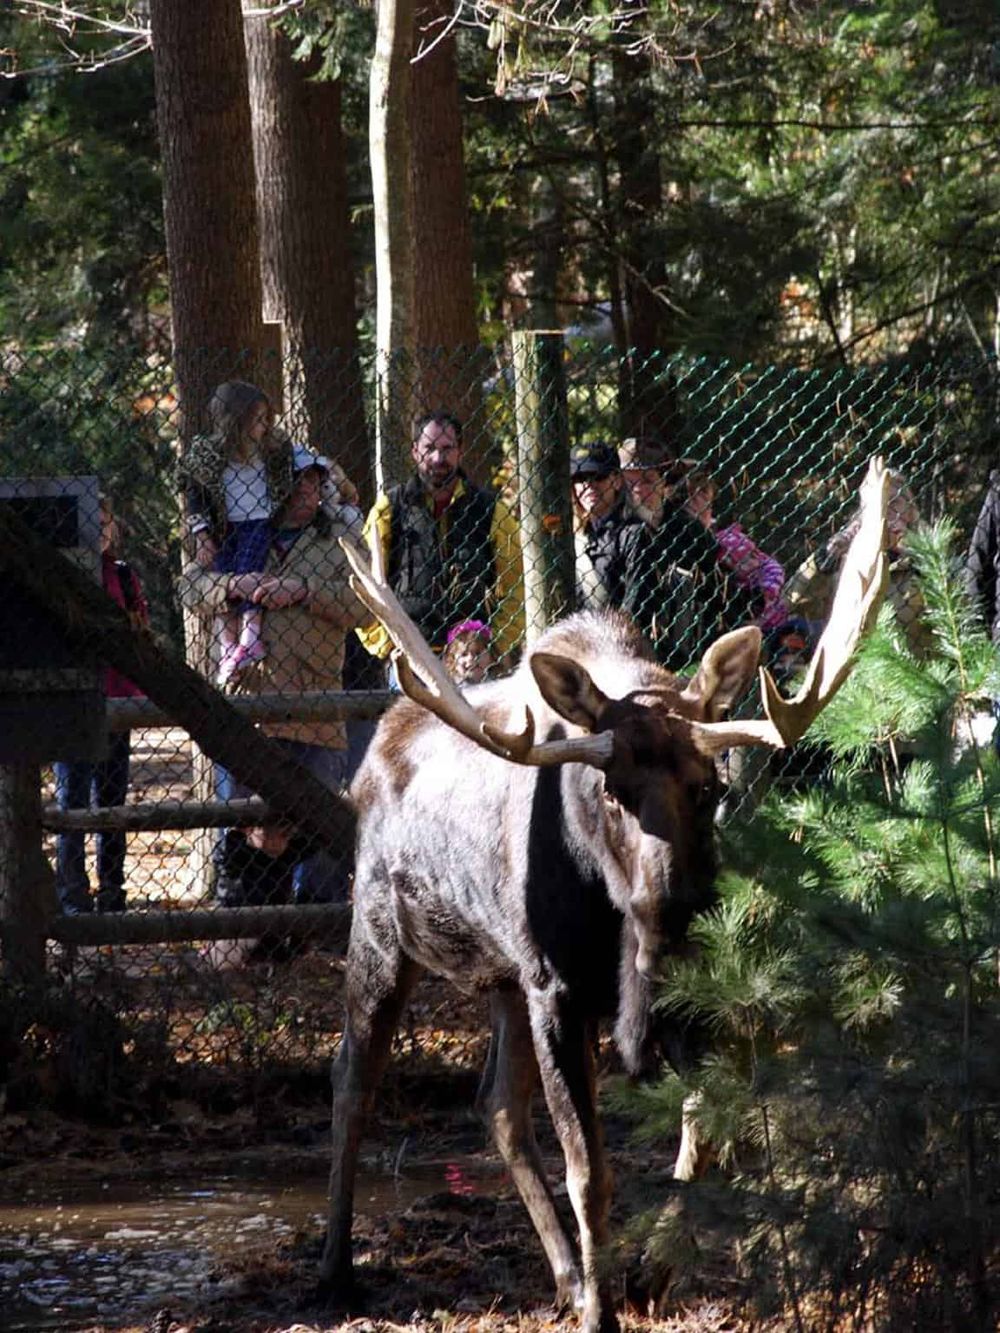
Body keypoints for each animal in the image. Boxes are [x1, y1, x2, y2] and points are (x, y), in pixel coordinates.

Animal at [318, 459, 889, 1333]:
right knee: (354, 1079)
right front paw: (605, 1306)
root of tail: (374, 746)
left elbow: (706, 1132)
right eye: (611, 789)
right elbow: (591, 1168)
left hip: (502, 975)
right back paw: (335, 1270)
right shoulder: (558, 989)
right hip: (383, 930)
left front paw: (645, 1275)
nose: (671, 912)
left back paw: (564, 1275)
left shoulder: (651, 995)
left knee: (495, 1105)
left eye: (709, 785)